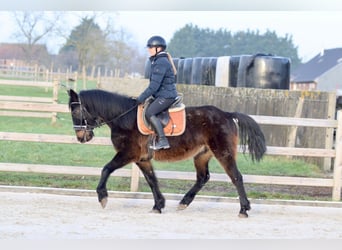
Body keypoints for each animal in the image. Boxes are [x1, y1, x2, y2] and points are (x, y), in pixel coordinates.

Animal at [67, 89, 268, 218]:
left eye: (75, 111)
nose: (81, 137)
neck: (125, 118)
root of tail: (227, 114)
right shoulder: (142, 159)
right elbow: (151, 180)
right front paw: (158, 205)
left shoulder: (127, 154)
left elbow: (106, 169)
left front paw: (102, 197)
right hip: (202, 155)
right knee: (203, 178)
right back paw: (184, 202)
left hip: (223, 152)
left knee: (236, 177)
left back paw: (243, 209)